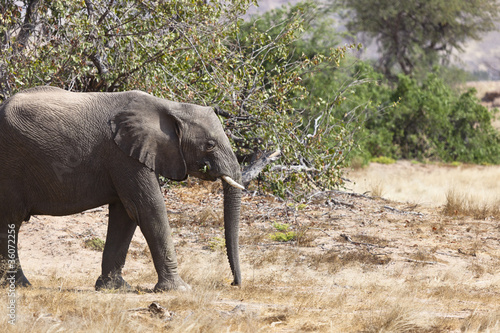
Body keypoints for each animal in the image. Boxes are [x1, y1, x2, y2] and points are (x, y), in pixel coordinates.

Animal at [0, 86, 244, 290]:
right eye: (210, 144)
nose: (234, 284)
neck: (171, 107)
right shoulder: (123, 155)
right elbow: (148, 208)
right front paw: (179, 289)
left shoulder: (129, 154)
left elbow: (125, 214)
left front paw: (114, 288)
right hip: (10, 168)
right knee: (11, 221)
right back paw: (21, 285)